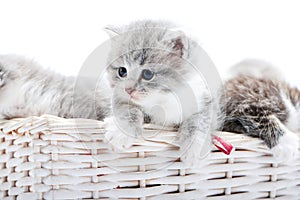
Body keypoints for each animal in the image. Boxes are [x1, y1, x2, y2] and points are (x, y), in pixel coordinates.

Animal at [103, 20, 220, 166]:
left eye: (147, 74)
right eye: (122, 71)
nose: (128, 89)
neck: (164, 98)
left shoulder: (206, 98)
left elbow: (201, 120)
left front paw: (195, 149)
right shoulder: (119, 96)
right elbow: (128, 110)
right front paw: (122, 133)